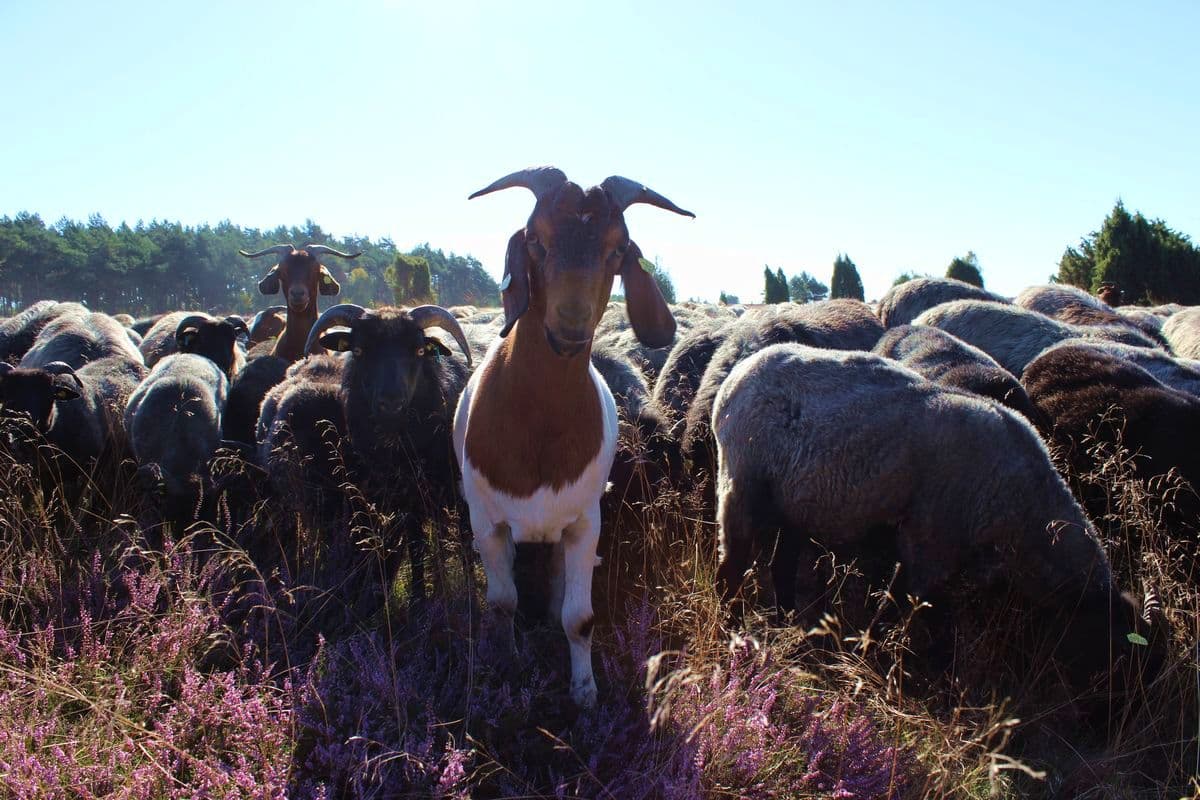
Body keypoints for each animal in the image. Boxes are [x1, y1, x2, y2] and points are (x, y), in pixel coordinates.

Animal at [451, 165, 696, 705]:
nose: (570, 326)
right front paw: (506, 664)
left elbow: (580, 618)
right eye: (536, 241)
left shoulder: (586, 523)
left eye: (618, 249)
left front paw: (584, 691)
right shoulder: (487, 522)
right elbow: (502, 603)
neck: (540, 426)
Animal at [710, 347, 1142, 681]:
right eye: (1112, 651)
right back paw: (732, 631)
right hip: (742, 481)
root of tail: (738, 375)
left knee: (781, 566)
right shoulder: (931, 542)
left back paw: (788, 620)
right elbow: (912, 607)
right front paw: (892, 660)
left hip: (792, 503)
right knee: (731, 567)